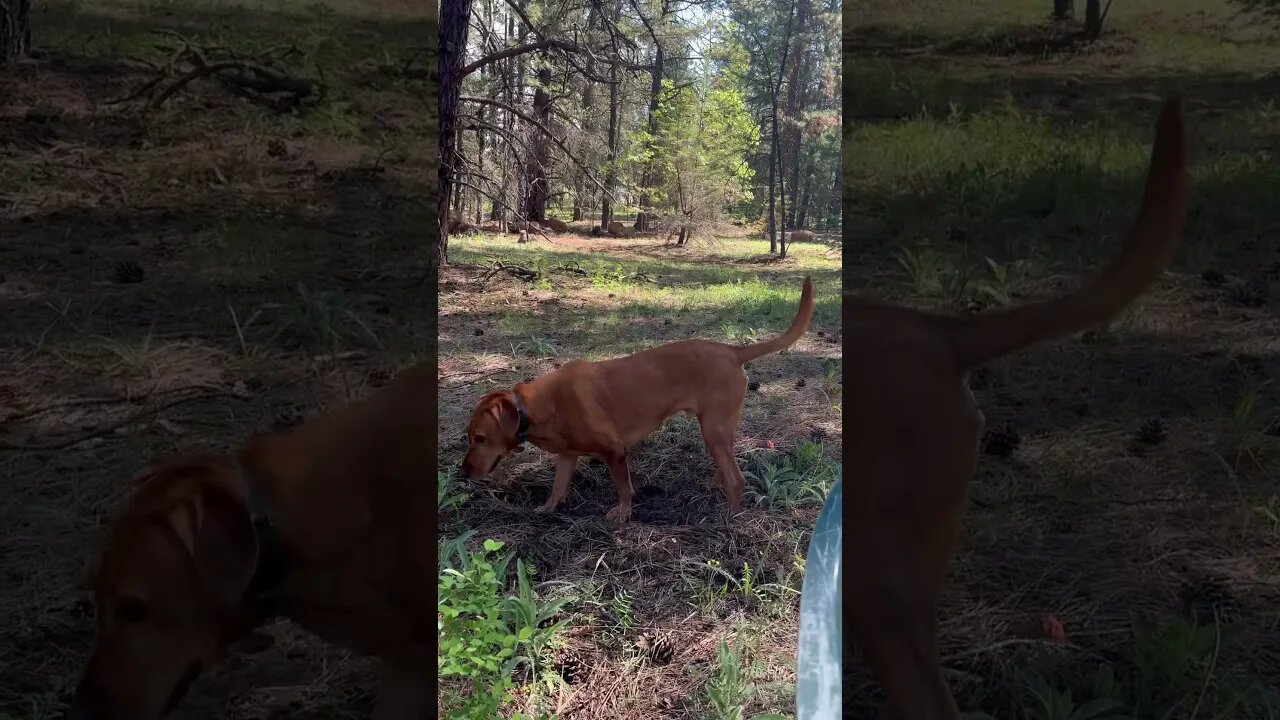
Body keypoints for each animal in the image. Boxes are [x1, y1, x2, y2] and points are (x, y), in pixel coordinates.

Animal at [465, 278, 814, 517]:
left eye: (480, 438)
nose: (463, 472)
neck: (534, 407)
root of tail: (732, 350)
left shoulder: (613, 450)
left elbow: (624, 489)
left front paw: (621, 515)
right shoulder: (567, 455)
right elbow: (557, 487)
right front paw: (547, 509)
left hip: (712, 429)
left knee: (737, 479)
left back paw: (729, 516)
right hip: (719, 430)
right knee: (728, 467)